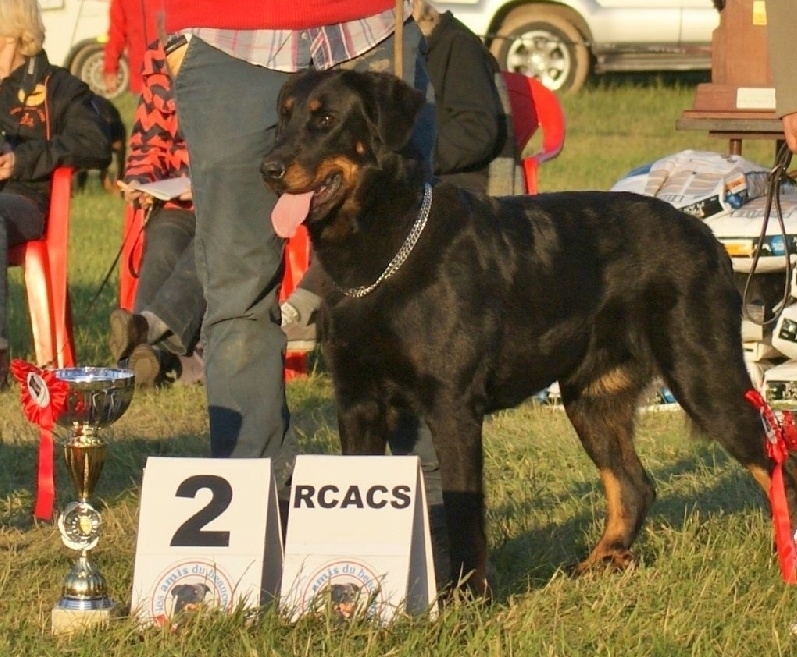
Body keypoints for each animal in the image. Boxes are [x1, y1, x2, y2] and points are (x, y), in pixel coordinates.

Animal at [262, 69, 796, 596]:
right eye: (283, 118)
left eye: (326, 119)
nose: (268, 168)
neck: (385, 251)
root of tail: (708, 237)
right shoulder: (357, 401)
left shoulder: (452, 406)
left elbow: (464, 510)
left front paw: (468, 596)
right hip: (592, 396)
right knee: (633, 484)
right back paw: (597, 565)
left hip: (703, 375)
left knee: (776, 467)